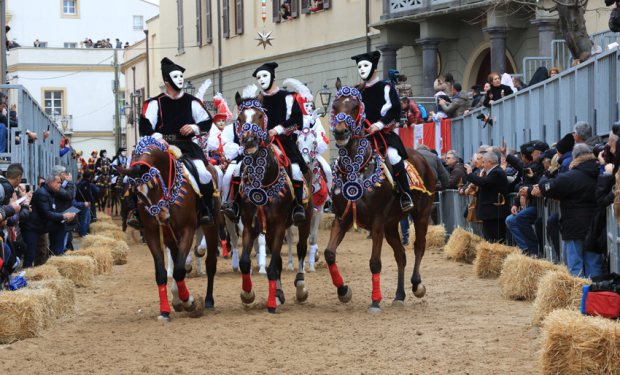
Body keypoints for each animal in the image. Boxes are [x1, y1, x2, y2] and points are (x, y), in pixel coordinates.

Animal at [118, 138, 220, 324]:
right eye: (137, 193)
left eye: (154, 185)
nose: (162, 216)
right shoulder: (152, 233)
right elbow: (162, 272)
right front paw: (166, 310)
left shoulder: (187, 230)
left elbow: (179, 270)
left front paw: (190, 302)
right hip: (171, 237)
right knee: (176, 258)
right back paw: (177, 298)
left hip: (211, 226)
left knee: (210, 263)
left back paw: (208, 300)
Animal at [232, 89, 312, 314]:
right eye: (240, 119)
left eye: (259, 116)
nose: (250, 141)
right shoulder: (250, 226)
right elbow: (245, 263)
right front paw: (248, 294)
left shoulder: (278, 226)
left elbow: (273, 266)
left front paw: (270, 303)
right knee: (277, 263)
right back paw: (278, 292)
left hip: (305, 220)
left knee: (301, 249)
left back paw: (300, 287)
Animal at [324, 86, 436, 312]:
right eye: (335, 105)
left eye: (355, 107)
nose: (340, 132)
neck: (356, 169)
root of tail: (423, 158)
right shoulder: (342, 218)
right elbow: (329, 253)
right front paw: (343, 291)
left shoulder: (376, 221)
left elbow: (375, 262)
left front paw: (375, 301)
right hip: (391, 225)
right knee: (401, 255)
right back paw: (399, 295)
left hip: (421, 215)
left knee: (419, 246)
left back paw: (417, 285)